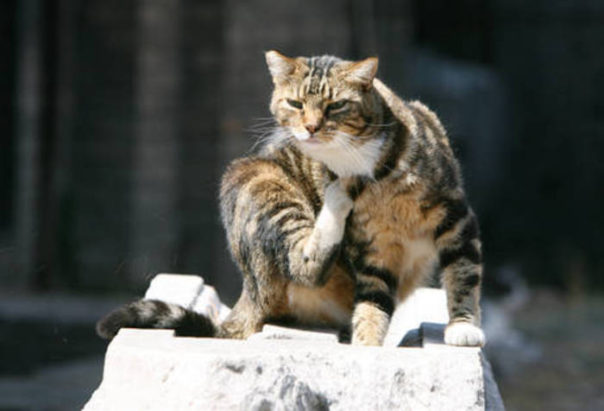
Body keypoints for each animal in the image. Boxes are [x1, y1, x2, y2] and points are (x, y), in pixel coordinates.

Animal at [97, 51, 485, 347]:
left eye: (336, 105)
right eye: (296, 103)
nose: (311, 127)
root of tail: (249, 293)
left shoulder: (455, 216)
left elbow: (462, 274)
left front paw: (463, 326)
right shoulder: (373, 247)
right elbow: (372, 302)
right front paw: (367, 347)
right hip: (265, 187)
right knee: (306, 265)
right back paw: (336, 197)